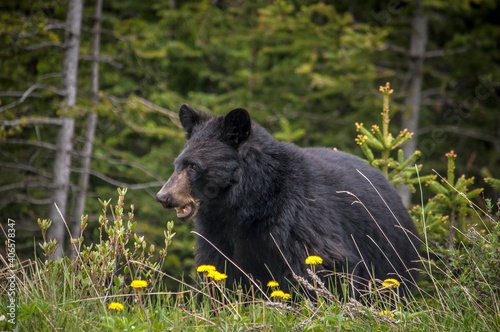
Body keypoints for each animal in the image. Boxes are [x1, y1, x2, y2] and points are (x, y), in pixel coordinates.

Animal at [155, 104, 418, 298]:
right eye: (178, 163)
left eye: (193, 166)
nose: (163, 196)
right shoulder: (218, 232)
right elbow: (219, 268)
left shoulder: (297, 217)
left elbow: (322, 263)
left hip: (388, 253)